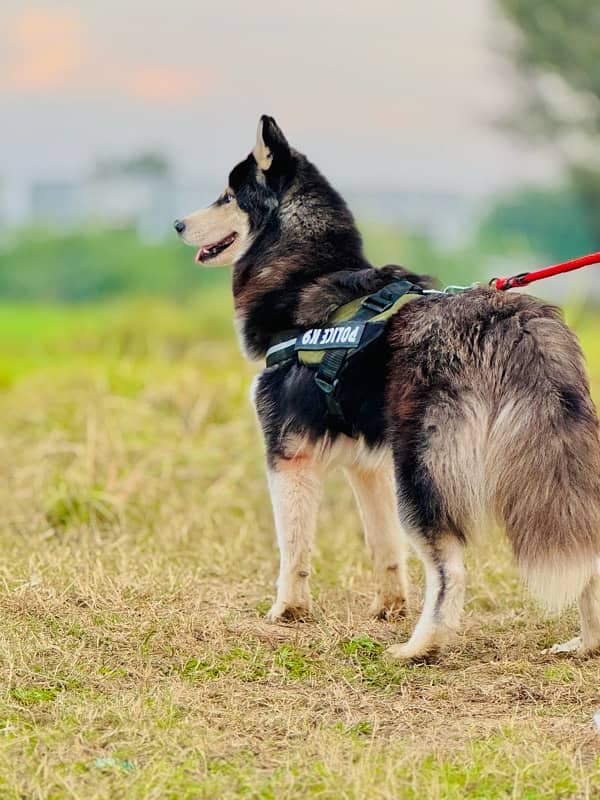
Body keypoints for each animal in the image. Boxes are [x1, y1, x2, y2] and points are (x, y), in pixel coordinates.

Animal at [173, 114, 600, 664]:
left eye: (227, 195)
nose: (177, 224)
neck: (303, 275)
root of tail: (515, 322)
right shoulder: (369, 464)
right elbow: (384, 547)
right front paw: (388, 607)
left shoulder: (287, 454)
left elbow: (293, 548)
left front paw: (287, 612)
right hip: (551, 467)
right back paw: (587, 643)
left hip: (421, 473)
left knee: (450, 570)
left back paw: (420, 647)